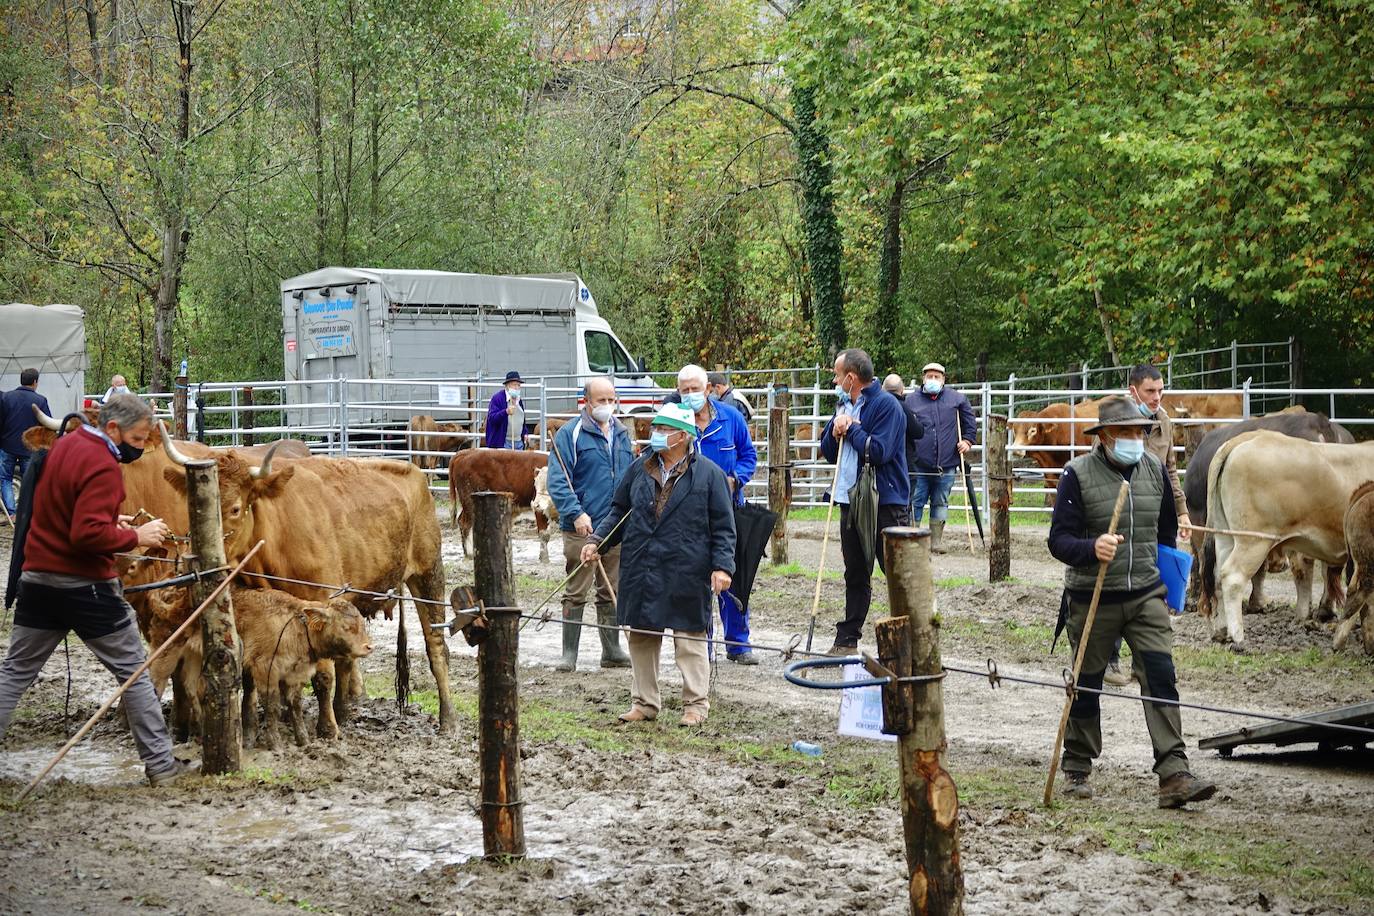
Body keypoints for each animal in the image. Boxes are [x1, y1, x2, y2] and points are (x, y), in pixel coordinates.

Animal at [1203, 431, 1374, 650]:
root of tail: (1246, 439)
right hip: (1253, 541)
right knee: (1233, 577)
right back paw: (1238, 637)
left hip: (1225, 537)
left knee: (1217, 577)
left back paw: (1221, 631)